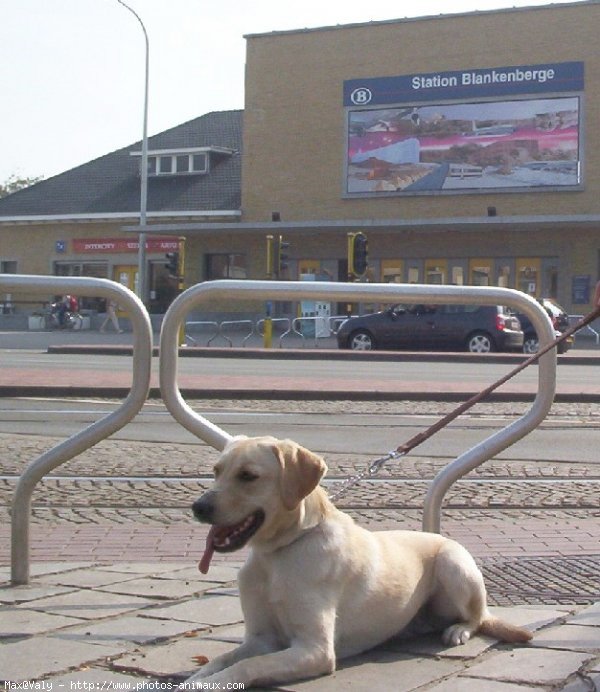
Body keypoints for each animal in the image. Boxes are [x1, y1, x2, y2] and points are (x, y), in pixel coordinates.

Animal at [188, 436, 528, 688]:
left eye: (248, 476)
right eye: (216, 471)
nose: (198, 507)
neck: (277, 554)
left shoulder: (314, 649)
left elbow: (248, 667)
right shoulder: (261, 639)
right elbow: (223, 660)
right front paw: (196, 677)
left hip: (453, 563)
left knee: (477, 617)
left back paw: (459, 630)